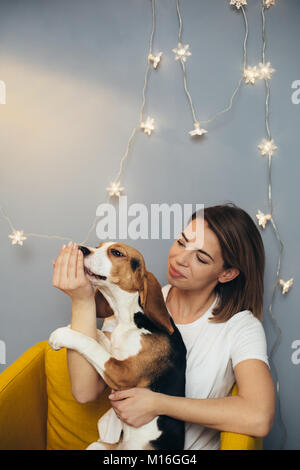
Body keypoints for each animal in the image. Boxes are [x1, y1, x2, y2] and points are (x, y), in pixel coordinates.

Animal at [48, 242, 186, 452]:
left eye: (116, 252)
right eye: (98, 246)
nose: (81, 248)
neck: (129, 319)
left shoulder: (122, 372)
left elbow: (90, 344)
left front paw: (62, 335)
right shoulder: (115, 351)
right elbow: (101, 336)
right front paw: (75, 327)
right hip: (97, 446)